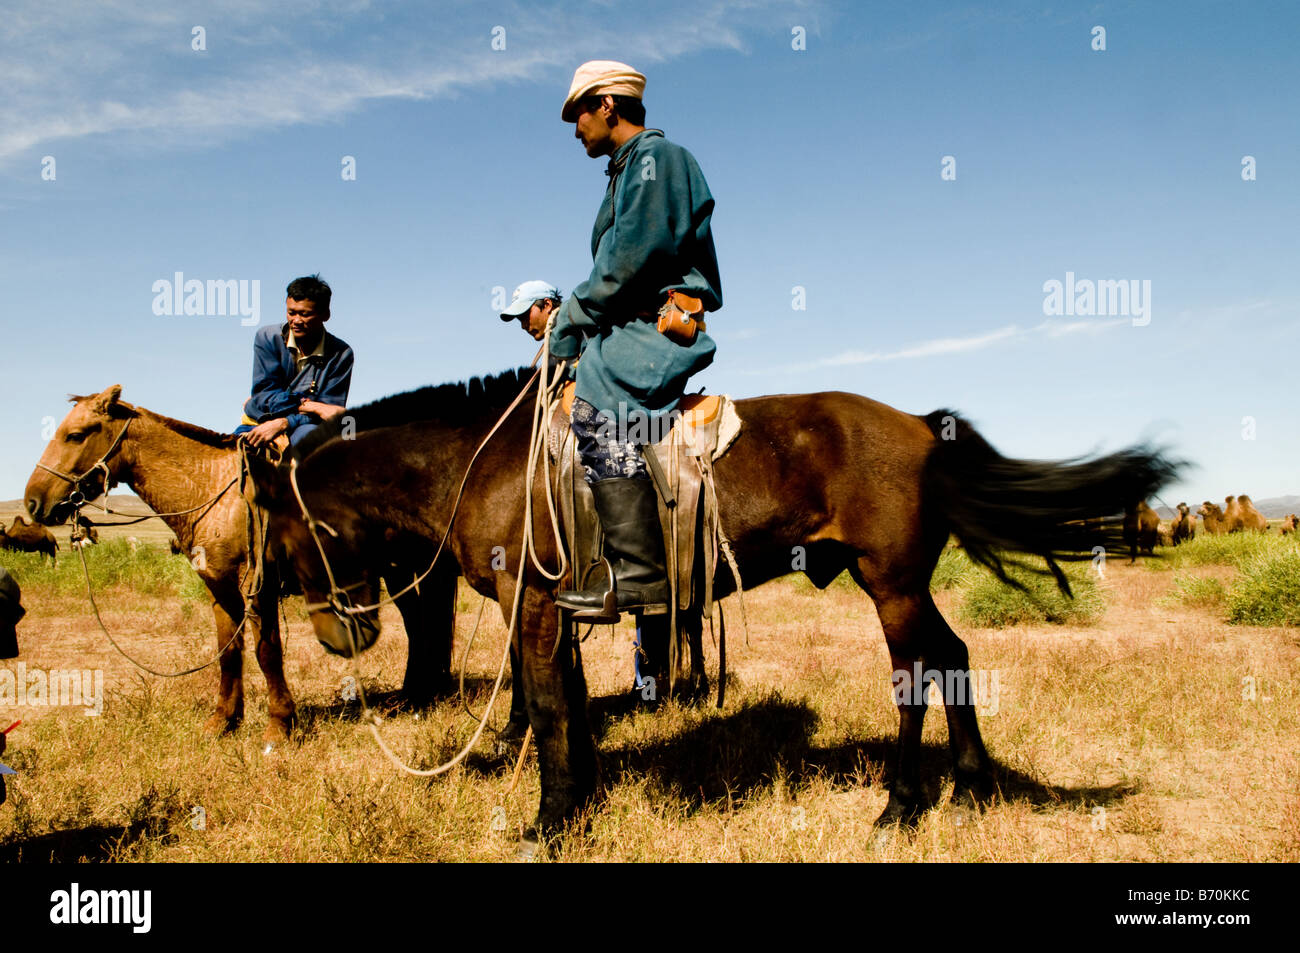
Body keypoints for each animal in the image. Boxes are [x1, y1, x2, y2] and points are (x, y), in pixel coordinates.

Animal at [22, 382, 460, 738]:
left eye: (75, 435)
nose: (33, 503)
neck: (214, 492)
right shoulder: (219, 587)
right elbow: (228, 653)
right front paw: (223, 721)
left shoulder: (257, 585)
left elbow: (268, 653)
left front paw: (280, 724)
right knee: (421, 621)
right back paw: (418, 692)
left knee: (423, 621)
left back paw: (421, 693)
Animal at [245, 371, 1180, 842]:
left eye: (284, 537)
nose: (341, 633)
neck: (488, 459)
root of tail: (922, 423)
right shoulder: (566, 615)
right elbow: (572, 709)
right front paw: (582, 803)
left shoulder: (533, 605)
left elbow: (545, 711)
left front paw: (550, 822)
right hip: (903, 584)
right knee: (952, 657)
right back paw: (974, 786)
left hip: (892, 585)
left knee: (917, 672)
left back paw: (900, 807)